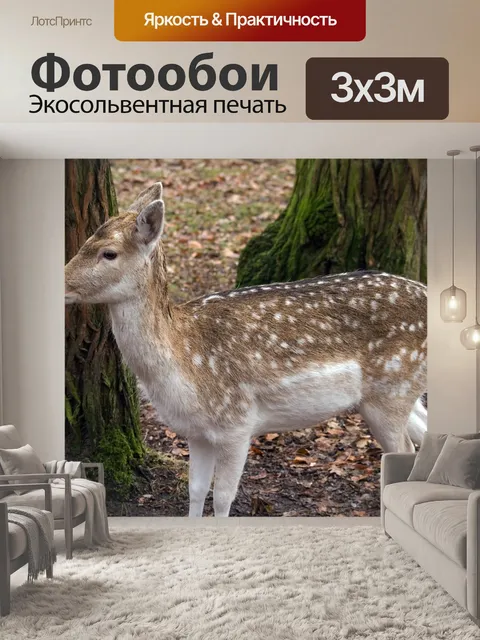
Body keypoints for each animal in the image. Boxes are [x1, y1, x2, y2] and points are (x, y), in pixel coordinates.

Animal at [65, 182, 427, 517]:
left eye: (109, 253)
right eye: (84, 242)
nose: (63, 282)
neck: (183, 364)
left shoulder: (237, 423)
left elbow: (223, 498)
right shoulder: (197, 433)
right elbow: (195, 491)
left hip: (392, 391)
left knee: (406, 448)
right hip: (395, 393)